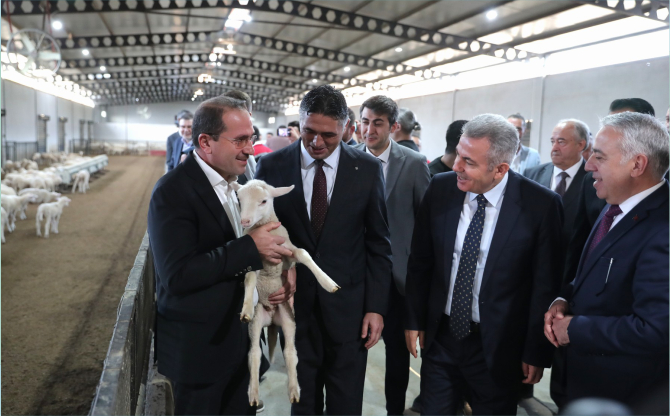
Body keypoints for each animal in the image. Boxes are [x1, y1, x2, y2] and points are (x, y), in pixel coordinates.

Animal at [229, 179, 341, 407]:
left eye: (264, 201)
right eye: (240, 199)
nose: (245, 221)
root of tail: (272, 319)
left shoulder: (287, 254)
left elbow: (303, 253)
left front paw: (328, 283)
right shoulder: (254, 258)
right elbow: (250, 277)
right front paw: (246, 308)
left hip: (289, 319)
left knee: (290, 352)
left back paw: (294, 391)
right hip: (256, 324)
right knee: (254, 354)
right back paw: (254, 394)